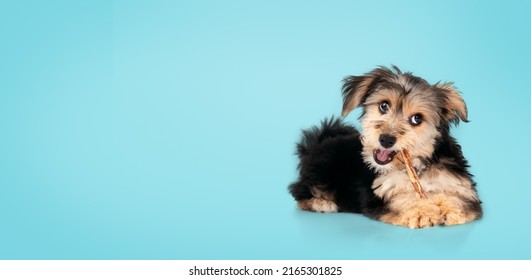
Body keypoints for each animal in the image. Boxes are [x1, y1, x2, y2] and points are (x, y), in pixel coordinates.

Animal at [288, 66, 484, 230]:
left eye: (417, 119)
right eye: (384, 106)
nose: (386, 139)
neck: (416, 165)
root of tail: (316, 144)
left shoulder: (460, 185)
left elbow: (459, 198)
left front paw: (450, 209)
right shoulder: (379, 195)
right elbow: (401, 199)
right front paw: (422, 211)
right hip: (323, 171)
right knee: (300, 191)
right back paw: (323, 203)